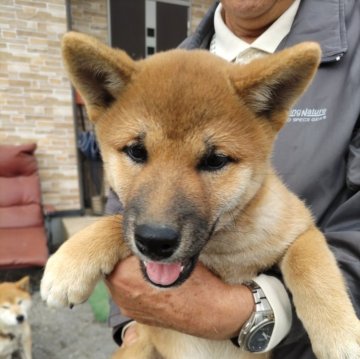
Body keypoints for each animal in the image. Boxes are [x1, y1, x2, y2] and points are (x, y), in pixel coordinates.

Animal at [40, 32, 358, 358]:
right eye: (136, 151)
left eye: (215, 160)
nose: (155, 241)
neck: (220, 252)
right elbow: (115, 223)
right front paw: (70, 263)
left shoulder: (301, 227)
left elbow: (309, 263)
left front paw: (339, 333)